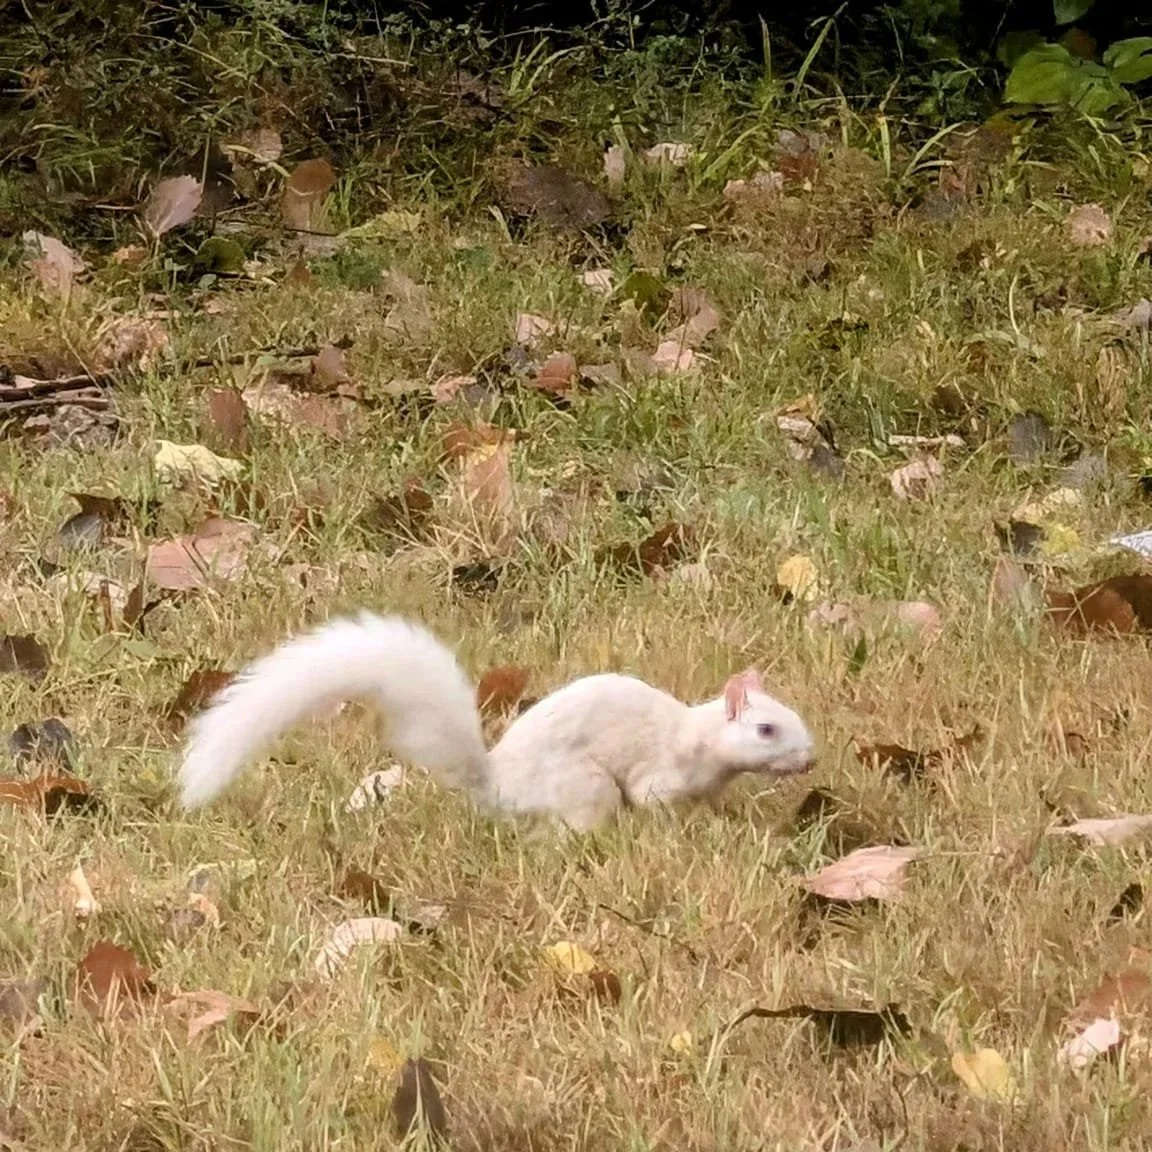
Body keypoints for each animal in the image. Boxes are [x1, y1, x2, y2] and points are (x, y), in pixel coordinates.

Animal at [176, 612, 816, 831]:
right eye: (766, 730)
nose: (810, 759)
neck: (698, 738)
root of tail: (497, 786)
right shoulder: (657, 777)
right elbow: (655, 802)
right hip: (585, 787)